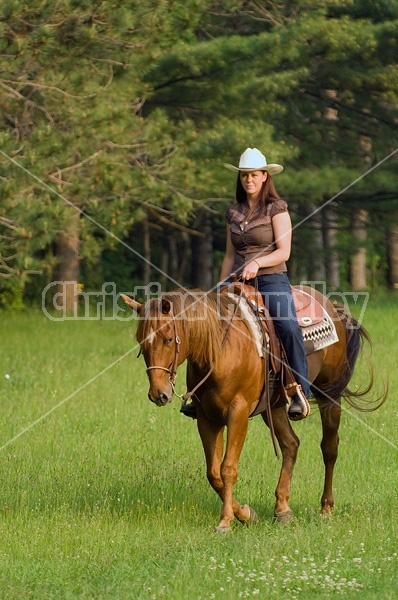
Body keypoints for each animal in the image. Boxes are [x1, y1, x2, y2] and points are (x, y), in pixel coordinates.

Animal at [123, 288, 386, 532]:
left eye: (168, 339)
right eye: (140, 341)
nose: (158, 394)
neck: (219, 350)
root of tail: (332, 306)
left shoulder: (238, 413)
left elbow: (228, 468)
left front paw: (225, 522)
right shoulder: (207, 418)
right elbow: (213, 473)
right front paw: (246, 514)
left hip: (329, 395)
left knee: (329, 448)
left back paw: (326, 509)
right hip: (276, 406)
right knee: (291, 444)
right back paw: (282, 509)